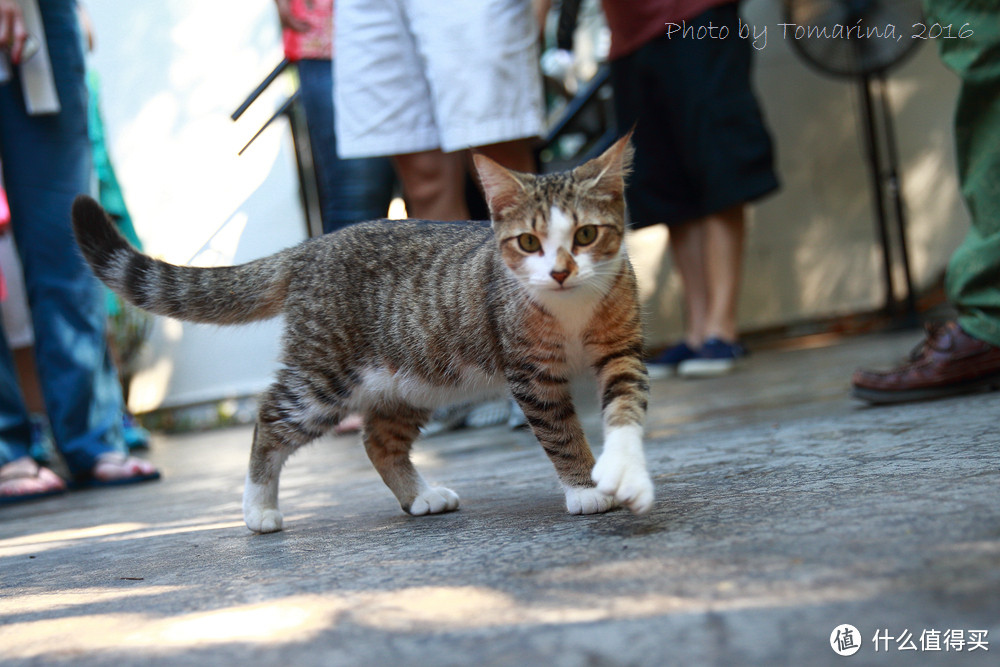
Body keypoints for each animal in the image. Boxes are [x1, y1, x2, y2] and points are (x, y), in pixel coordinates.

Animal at [74, 134, 660, 532]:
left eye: (586, 235)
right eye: (529, 243)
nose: (560, 272)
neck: (571, 308)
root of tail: (310, 246)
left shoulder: (622, 350)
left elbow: (625, 410)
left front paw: (625, 473)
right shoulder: (531, 373)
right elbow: (560, 431)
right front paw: (584, 487)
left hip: (414, 379)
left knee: (378, 441)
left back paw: (419, 495)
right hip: (323, 378)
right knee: (270, 418)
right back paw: (258, 505)